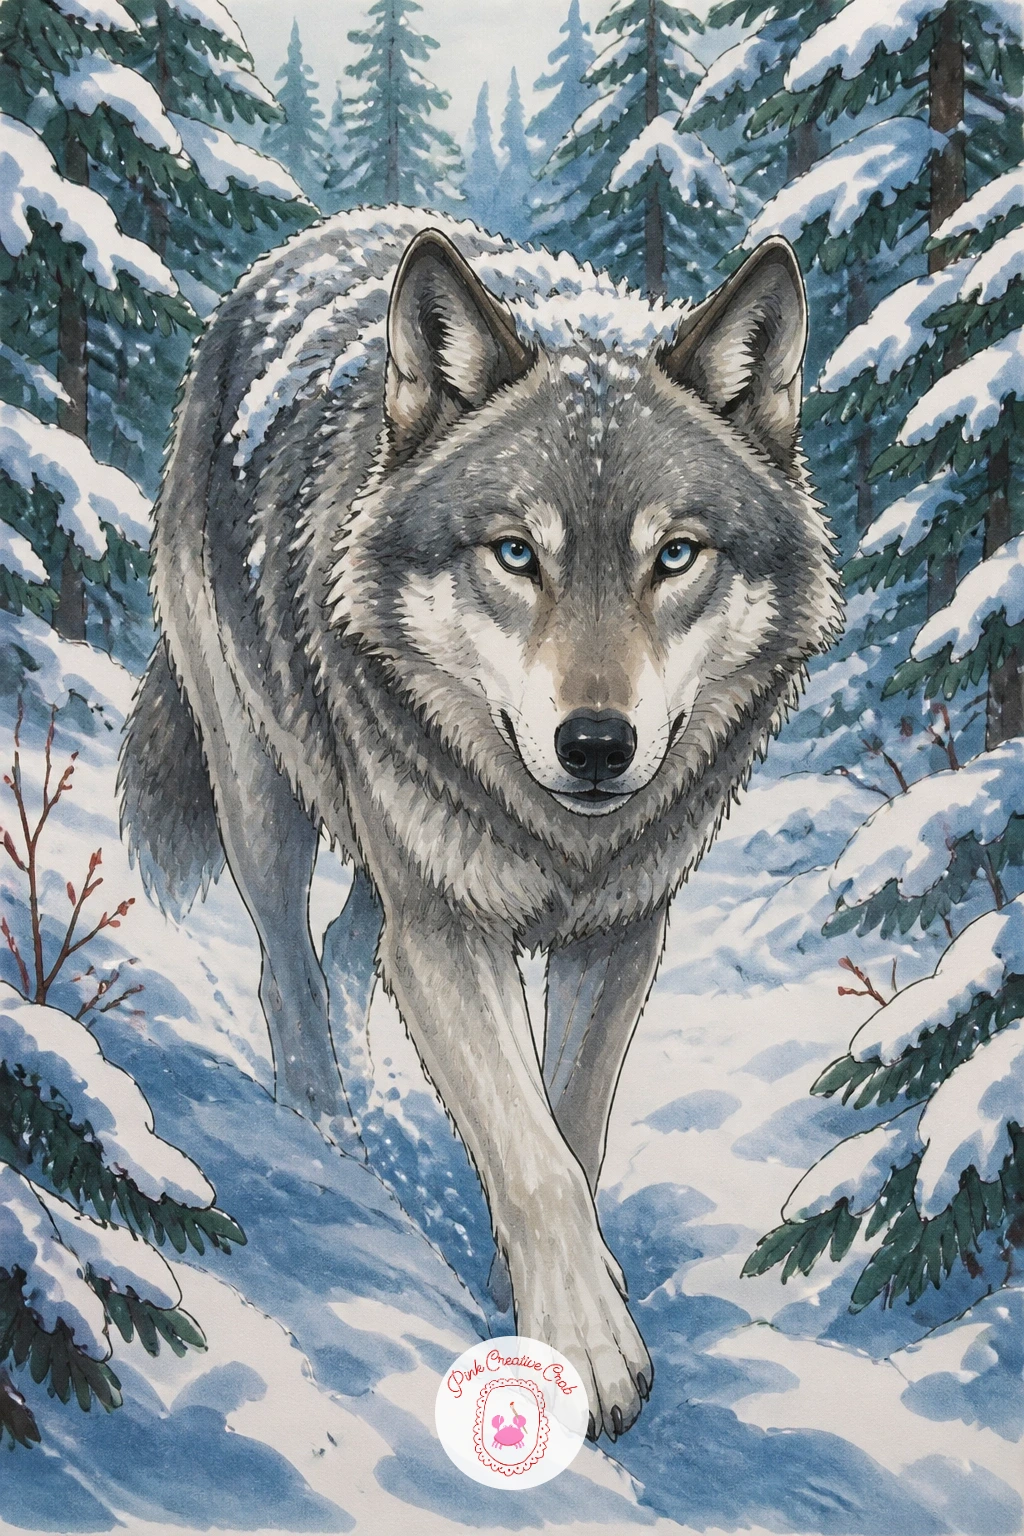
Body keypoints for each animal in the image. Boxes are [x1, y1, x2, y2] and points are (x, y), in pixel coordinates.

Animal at [119, 209, 842, 1442]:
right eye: (515, 553)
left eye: (675, 555)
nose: (595, 744)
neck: (565, 844)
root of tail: (296, 251)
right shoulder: (450, 929)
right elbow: (530, 1150)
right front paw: (585, 1348)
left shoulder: (621, 932)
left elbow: (570, 1130)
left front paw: (558, 1285)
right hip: (265, 790)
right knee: (284, 963)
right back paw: (327, 1133)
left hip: (387, 858)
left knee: (344, 946)